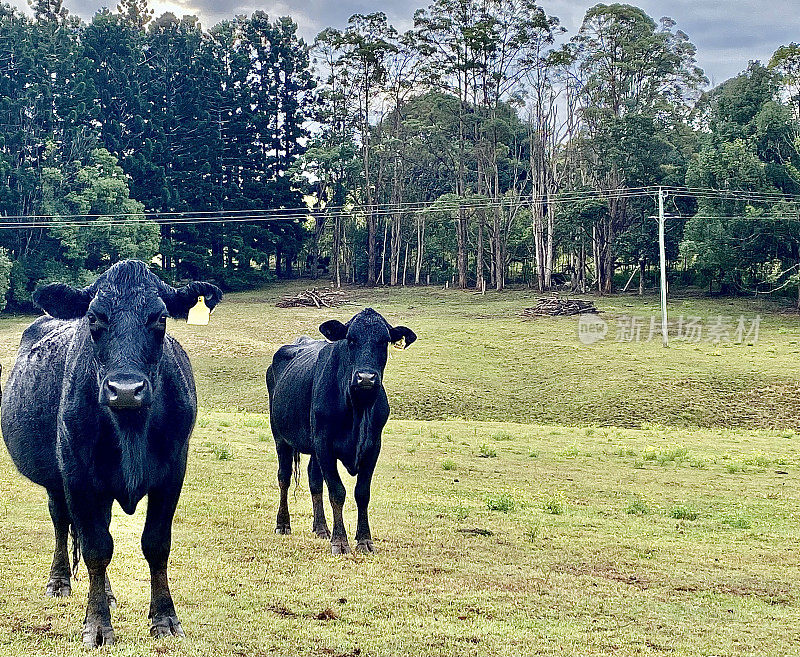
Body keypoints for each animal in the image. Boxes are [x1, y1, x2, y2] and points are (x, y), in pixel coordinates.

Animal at [1, 258, 220, 644]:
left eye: (160, 317)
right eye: (94, 317)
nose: (126, 389)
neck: (131, 428)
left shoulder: (172, 473)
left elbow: (155, 544)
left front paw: (164, 618)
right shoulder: (78, 477)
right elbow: (96, 548)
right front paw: (97, 624)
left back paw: (108, 593)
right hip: (57, 480)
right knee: (62, 522)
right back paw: (59, 581)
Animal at [268, 308, 418, 552]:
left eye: (384, 340)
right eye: (351, 339)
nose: (366, 377)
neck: (358, 409)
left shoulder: (372, 447)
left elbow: (362, 493)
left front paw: (364, 539)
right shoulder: (325, 444)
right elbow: (337, 492)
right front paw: (340, 541)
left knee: (314, 480)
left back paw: (321, 528)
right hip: (280, 437)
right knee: (284, 477)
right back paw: (283, 524)